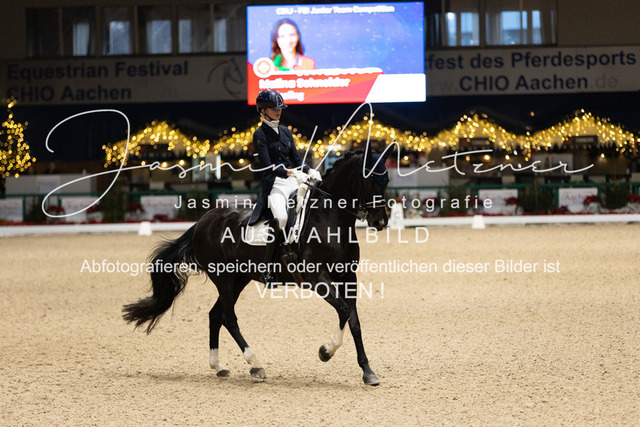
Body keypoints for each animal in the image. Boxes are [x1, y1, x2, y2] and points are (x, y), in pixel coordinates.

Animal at [122, 148, 390, 385]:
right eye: (370, 180)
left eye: (386, 180)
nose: (381, 222)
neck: (329, 220)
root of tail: (201, 223)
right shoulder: (317, 278)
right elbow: (344, 310)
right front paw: (325, 352)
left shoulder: (348, 277)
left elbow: (353, 320)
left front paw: (368, 372)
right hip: (225, 280)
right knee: (229, 318)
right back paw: (256, 365)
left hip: (238, 280)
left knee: (215, 315)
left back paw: (219, 367)